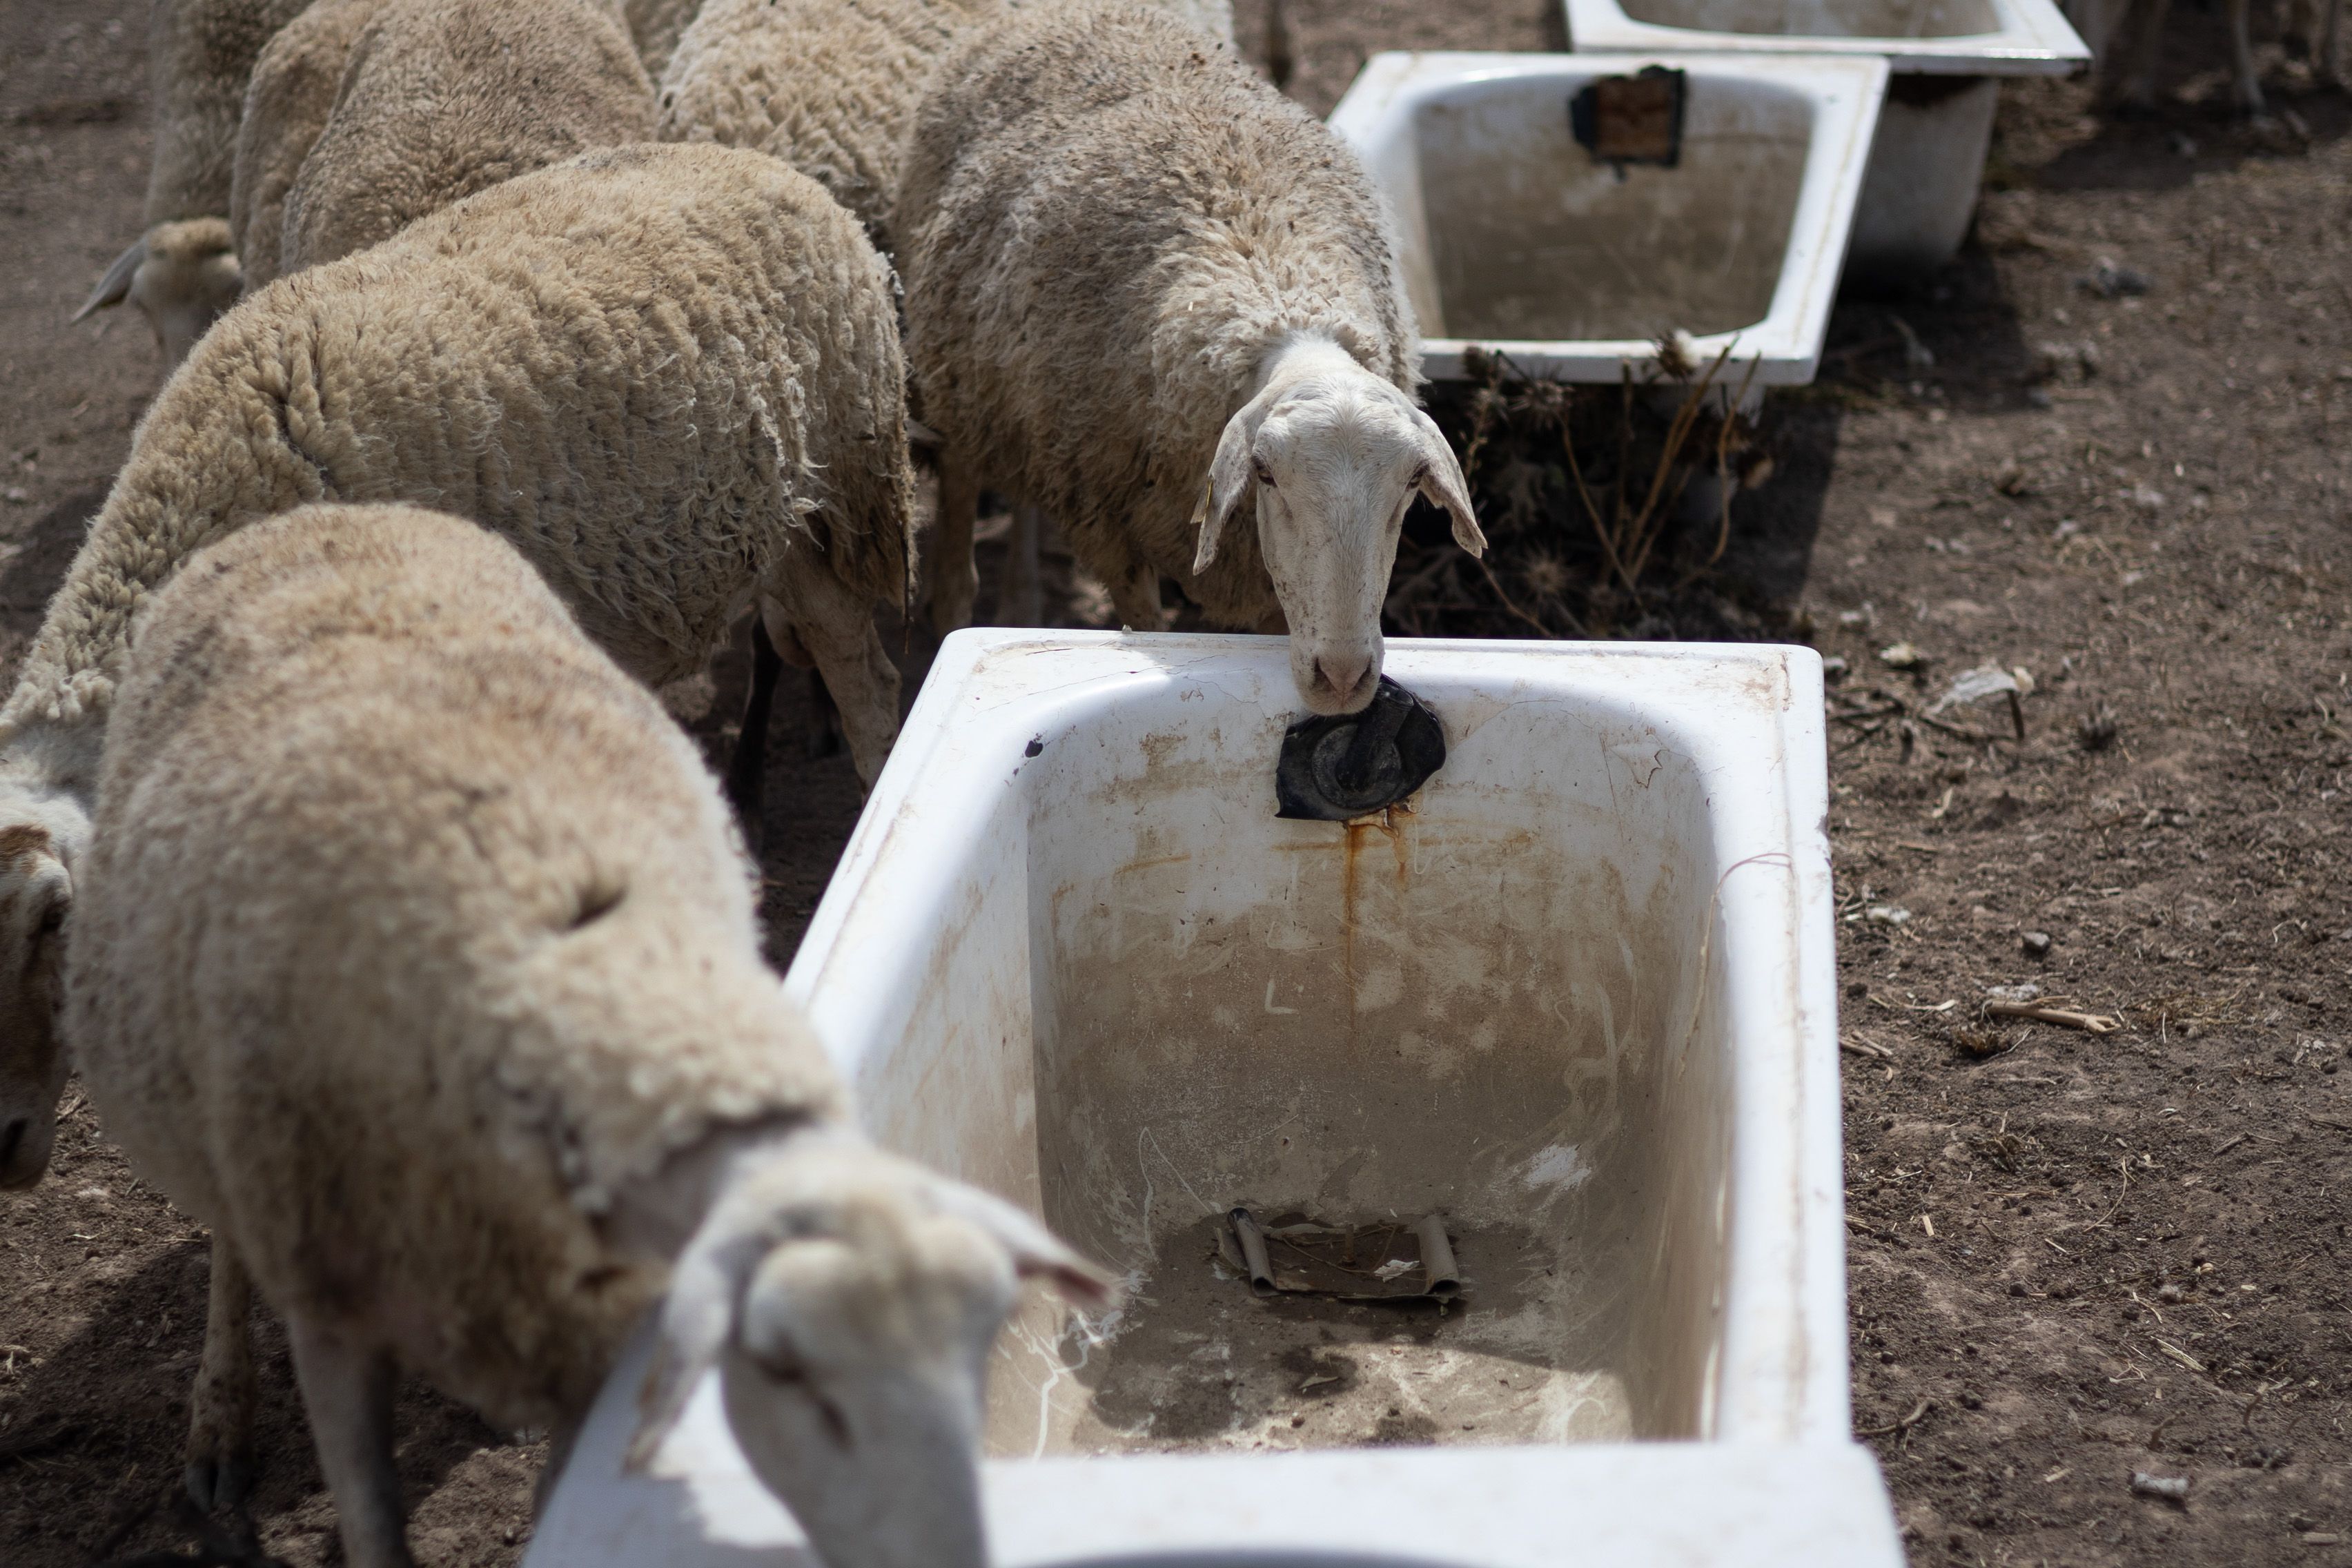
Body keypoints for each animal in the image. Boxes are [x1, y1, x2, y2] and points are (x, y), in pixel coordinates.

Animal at [64, 505, 1110, 1568]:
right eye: (781, 1368)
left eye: (985, 1342)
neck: (607, 991)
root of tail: (326, 515)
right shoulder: (332, 1314)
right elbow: (372, 1522)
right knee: (228, 1252)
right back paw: (220, 1426)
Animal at [889, 0, 1477, 709]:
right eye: (1265, 475)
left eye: (1413, 483)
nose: (1342, 679)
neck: (1276, 289)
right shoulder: (1107, 525)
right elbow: (1145, 622)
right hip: (954, 366)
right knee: (962, 490)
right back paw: (956, 605)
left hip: (1022, 397)